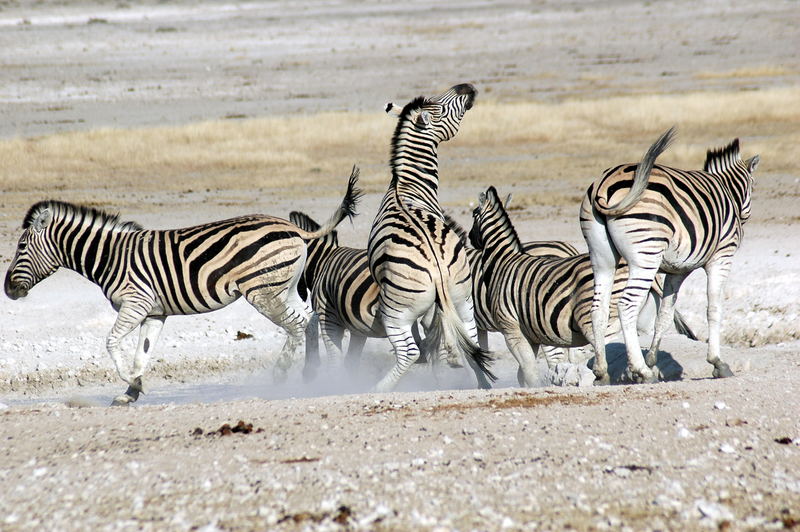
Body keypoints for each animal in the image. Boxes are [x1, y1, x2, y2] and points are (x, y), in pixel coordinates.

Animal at [4, 168, 360, 406]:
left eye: (21, 247)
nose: (7, 290)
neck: (110, 256)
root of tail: (295, 229)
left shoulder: (135, 303)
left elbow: (111, 342)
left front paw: (131, 384)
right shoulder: (154, 312)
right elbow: (142, 353)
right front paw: (131, 391)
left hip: (261, 291)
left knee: (296, 325)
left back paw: (284, 374)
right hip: (280, 287)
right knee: (308, 320)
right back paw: (311, 373)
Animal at [368, 83, 494, 390]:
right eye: (442, 106)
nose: (467, 87)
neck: (406, 186)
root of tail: (437, 265)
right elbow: (437, 334)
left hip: (395, 311)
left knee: (408, 352)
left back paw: (377, 388)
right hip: (462, 296)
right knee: (471, 339)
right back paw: (482, 383)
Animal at [468, 186, 692, 386]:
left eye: (473, 214)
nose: (470, 239)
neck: (502, 261)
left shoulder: (510, 328)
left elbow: (527, 369)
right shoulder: (529, 334)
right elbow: (523, 370)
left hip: (591, 316)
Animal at [580, 130, 760, 386]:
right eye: (753, 186)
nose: (744, 217)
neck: (726, 190)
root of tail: (604, 186)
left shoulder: (678, 270)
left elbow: (664, 315)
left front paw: (653, 361)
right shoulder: (721, 257)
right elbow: (714, 307)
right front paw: (717, 363)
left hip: (601, 256)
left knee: (599, 309)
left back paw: (602, 373)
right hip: (646, 255)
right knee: (627, 305)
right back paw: (641, 371)